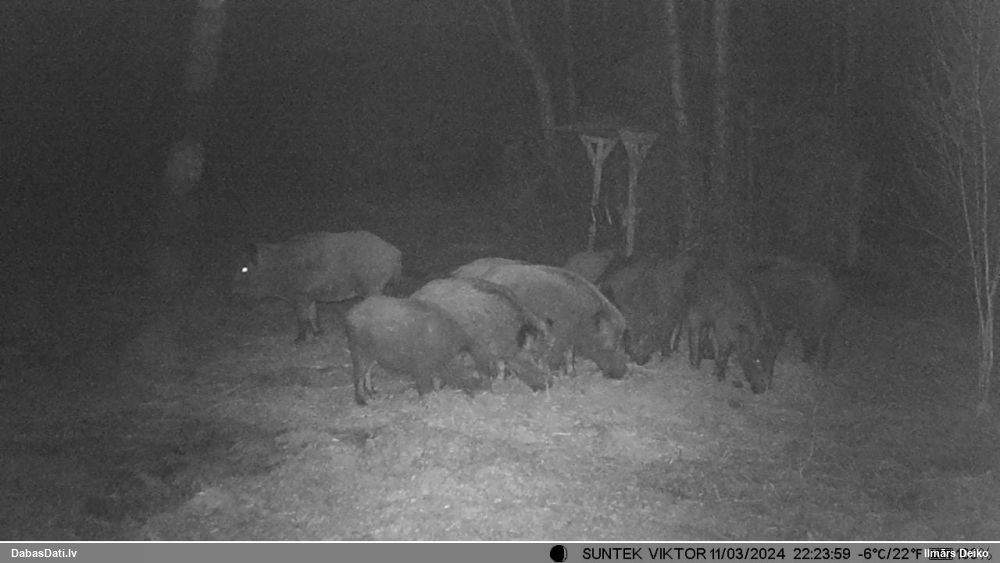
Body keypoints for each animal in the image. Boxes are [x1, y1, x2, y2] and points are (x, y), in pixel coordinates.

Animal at [232, 231, 402, 342]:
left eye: (244, 268)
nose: (233, 292)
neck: (276, 268)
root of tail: (395, 252)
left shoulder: (299, 295)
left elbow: (302, 317)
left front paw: (298, 340)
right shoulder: (309, 296)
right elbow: (312, 314)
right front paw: (318, 334)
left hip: (372, 286)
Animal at [345, 296, 495, 406]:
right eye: (472, 368)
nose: (488, 392)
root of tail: (350, 313)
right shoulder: (421, 367)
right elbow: (425, 387)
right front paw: (428, 401)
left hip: (371, 355)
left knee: (367, 372)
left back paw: (373, 393)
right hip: (359, 351)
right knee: (358, 375)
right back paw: (362, 401)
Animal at [410, 277, 554, 391]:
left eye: (546, 353)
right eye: (535, 357)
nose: (550, 384)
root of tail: (415, 294)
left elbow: (500, 369)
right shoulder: (480, 349)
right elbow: (486, 373)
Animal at [453, 260, 629, 380]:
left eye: (622, 340)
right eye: (613, 344)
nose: (622, 373)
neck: (582, 318)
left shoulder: (567, 339)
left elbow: (569, 356)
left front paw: (572, 374)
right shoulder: (559, 338)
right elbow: (557, 358)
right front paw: (557, 375)